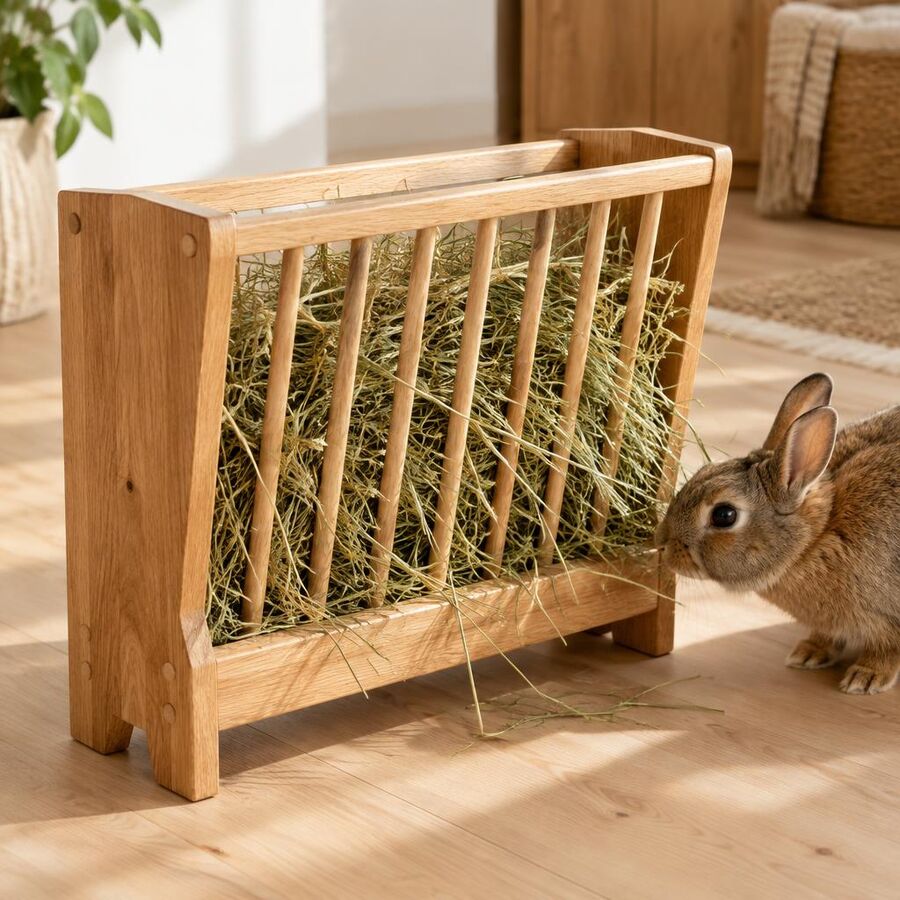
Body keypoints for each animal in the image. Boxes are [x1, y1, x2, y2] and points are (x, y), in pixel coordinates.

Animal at [656, 372, 900, 694]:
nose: (662, 543)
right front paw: (808, 653)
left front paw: (866, 678)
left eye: (724, 515)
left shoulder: (889, 618)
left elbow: (886, 650)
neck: (813, 540)